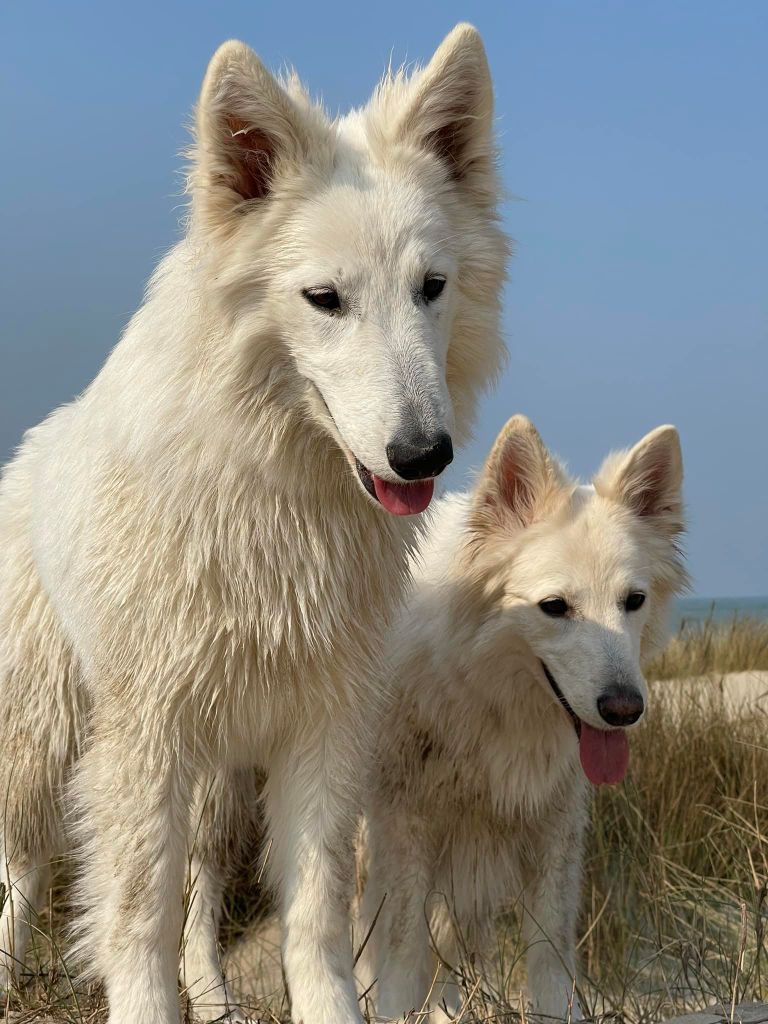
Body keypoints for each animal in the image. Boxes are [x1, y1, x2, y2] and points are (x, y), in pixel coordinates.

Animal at [0, 25, 512, 1024]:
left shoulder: (323, 731)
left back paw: (213, 994)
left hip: (219, 780)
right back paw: (4, 968)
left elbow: (313, 917)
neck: (271, 489)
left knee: (195, 894)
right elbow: (136, 916)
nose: (422, 455)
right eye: (325, 299)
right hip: (43, 734)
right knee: (25, 860)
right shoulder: (145, 738)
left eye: (431, 287)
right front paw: (146, 1007)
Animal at [358, 413, 688, 1015]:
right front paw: (392, 1009)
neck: (488, 699)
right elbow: (401, 951)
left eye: (634, 601)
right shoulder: (407, 829)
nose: (625, 709)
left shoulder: (556, 835)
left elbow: (550, 962)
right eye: (554, 607)